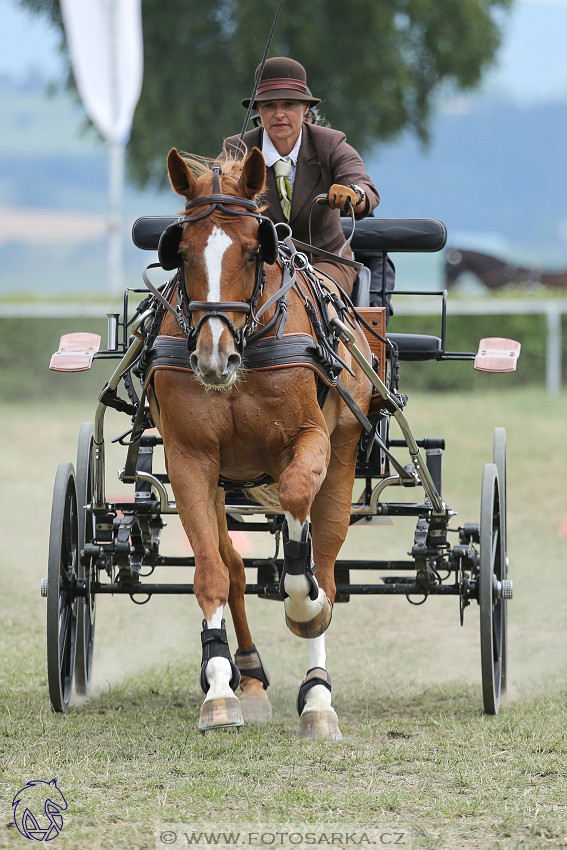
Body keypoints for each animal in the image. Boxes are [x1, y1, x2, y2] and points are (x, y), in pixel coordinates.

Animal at [148, 149, 372, 740]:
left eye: (255, 249)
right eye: (180, 252)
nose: (213, 357)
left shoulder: (309, 440)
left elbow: (298, 509)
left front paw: (303, 607)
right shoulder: (190, 459)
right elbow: (211, 572)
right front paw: (220, 691)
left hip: (344, 453)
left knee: (326, 560)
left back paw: (318, 697)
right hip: (224, 482)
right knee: (232, 566)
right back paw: (246, 675)